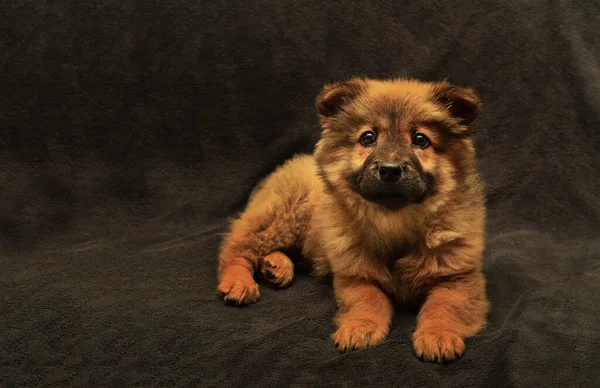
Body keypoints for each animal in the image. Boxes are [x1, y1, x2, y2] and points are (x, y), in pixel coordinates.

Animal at [218, 76, 490, 364]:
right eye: (368, 138)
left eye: (420, 140)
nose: (390, 170)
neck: (395, 221)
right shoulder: (356, 274)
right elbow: (367, 300)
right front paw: (359, 328)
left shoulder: (458, 278)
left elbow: (443, 305)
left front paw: (437, 335)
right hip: (283, 216)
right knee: (236, 247)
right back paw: (239, 282)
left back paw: (276, 266)